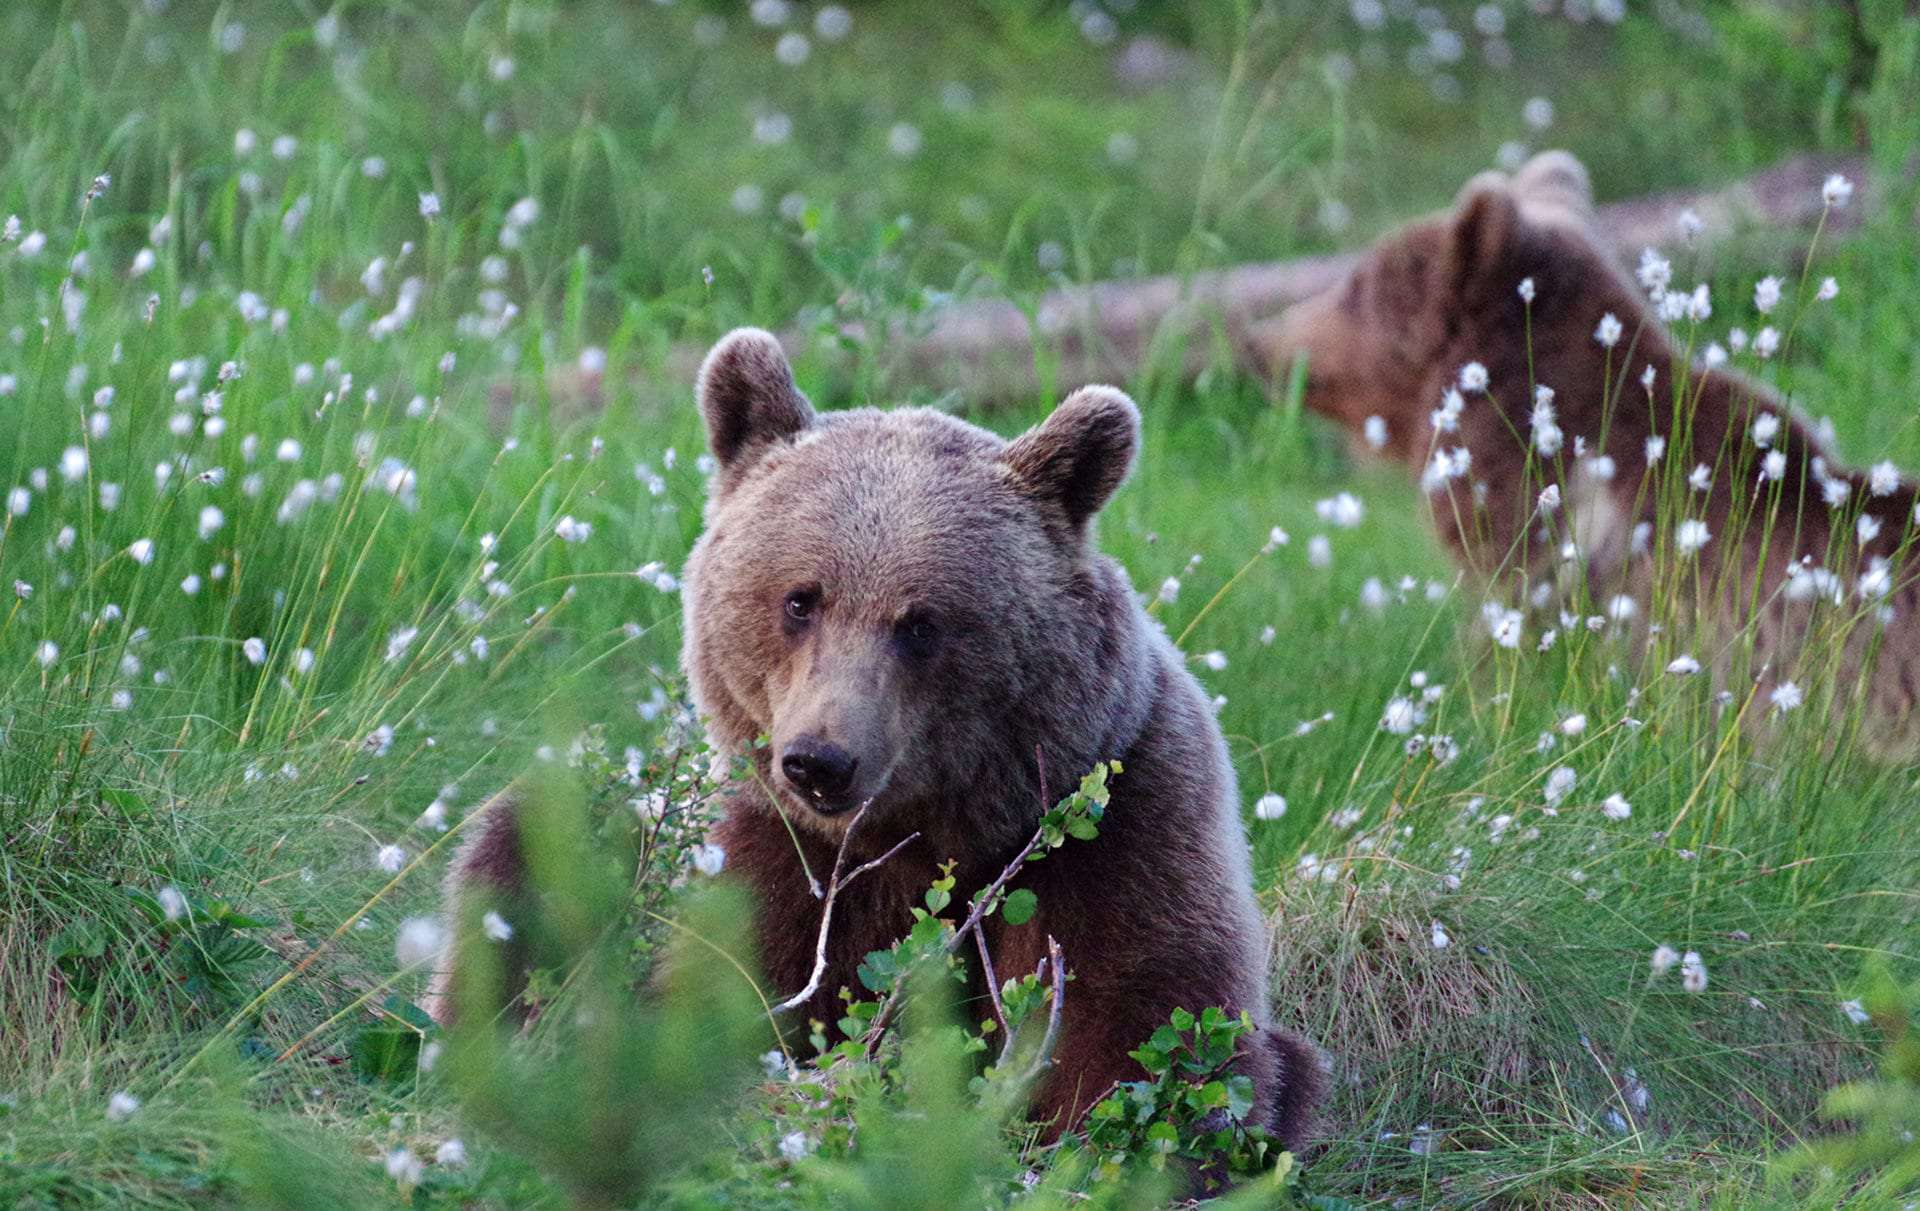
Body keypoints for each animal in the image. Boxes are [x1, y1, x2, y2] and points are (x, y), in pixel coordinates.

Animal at [433, 330, 1328, 1143]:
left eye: (921, 622)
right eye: (800, 598)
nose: (820, 761)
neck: (929, 830)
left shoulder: (1119, 820)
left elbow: (1147, 1028)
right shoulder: (778, 851)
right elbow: (726, 999)